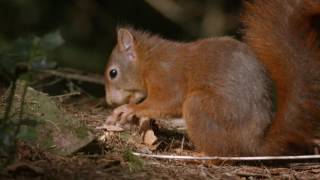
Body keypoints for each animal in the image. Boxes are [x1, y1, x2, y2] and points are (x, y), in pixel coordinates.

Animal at [104, 0, 318, 156]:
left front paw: (128, 109)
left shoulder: (167, 75)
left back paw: (198, 154)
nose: (109, 101)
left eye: (113, 73)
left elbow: (168, 101)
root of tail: (253, 146)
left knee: (219, 153)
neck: (148, 62)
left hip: (200, 106)